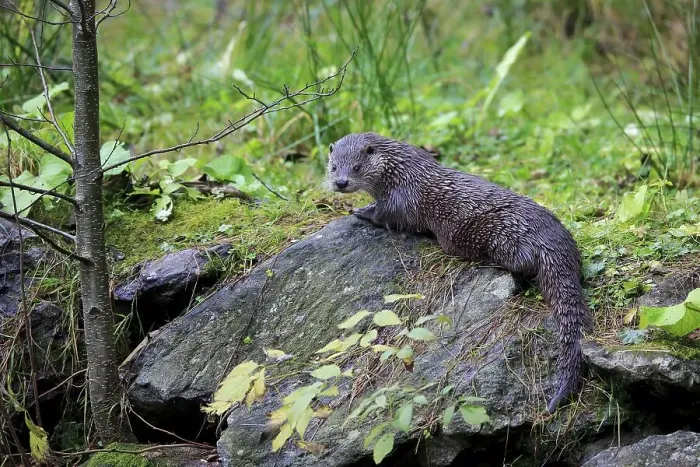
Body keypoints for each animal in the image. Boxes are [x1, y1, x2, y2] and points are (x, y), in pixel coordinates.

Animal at [326, 132, 593, 413]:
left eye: (357, 167)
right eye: (333, 167)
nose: (341, 182)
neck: (401, 173)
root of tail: (554, 242)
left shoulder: (400, 201)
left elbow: (386, 216)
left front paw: (360, 212)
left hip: (508, 237)